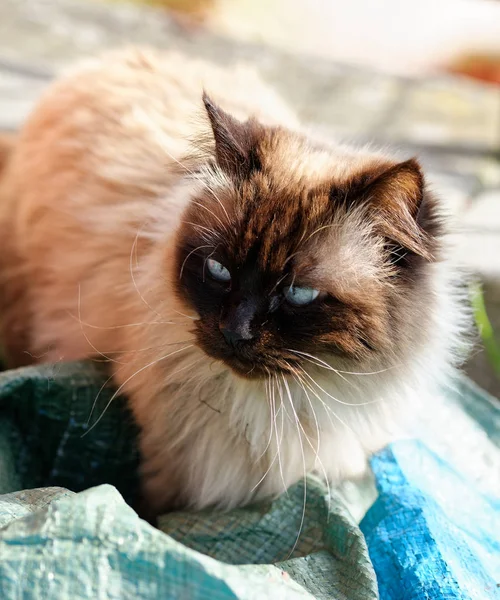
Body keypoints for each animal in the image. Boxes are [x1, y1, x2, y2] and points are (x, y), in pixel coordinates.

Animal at [0, 48, 468, 516]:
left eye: (299, 294)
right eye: (219, 270)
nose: (233, 332)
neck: (277, 406)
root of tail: (114, 56)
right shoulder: (174, 469)